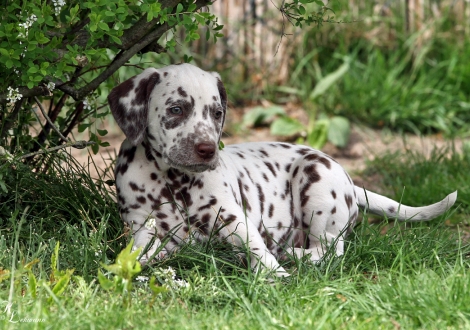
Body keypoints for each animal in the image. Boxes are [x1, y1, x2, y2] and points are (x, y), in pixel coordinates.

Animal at [108, 63, 458, 274]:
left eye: (217, 113)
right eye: (176, 109)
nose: (207, 150)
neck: (173, 180)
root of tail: (350, 182)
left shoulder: (232, 218)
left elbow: (256, 247)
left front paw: (272, 273)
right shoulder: (142, 228)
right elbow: (139, 253)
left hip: (315, 179)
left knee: (330, 250)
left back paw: (289, 256)